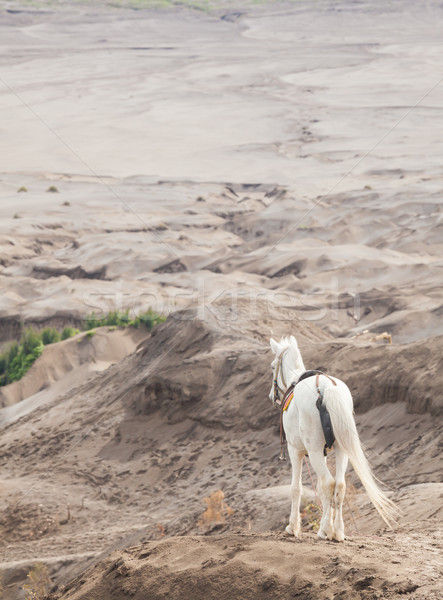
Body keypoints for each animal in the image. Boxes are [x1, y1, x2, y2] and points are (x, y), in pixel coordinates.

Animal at [270, 336, 398, 540]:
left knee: (329, 483)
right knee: (339, 485)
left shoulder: (295, 450)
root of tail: (326, 389)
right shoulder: (323, 454)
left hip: (313, 451)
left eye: (273, 365)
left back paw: (325, 530)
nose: (271, 396)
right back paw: (337, 531)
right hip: (341, 450)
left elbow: (296, 488)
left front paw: (293, 527)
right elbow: (323, 491)